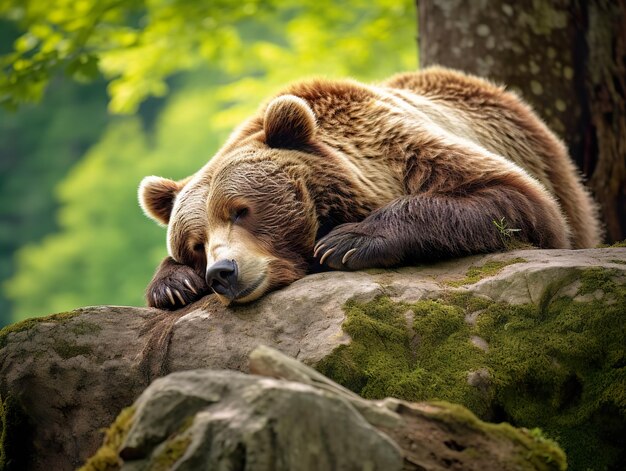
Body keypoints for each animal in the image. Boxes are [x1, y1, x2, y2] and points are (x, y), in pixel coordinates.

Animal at [138, 66, 600, 310]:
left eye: (240, 209)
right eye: (196, 244)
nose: (222, 272)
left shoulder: (408, 150)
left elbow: (517, 199)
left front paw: (347, 242)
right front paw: (173, 285)